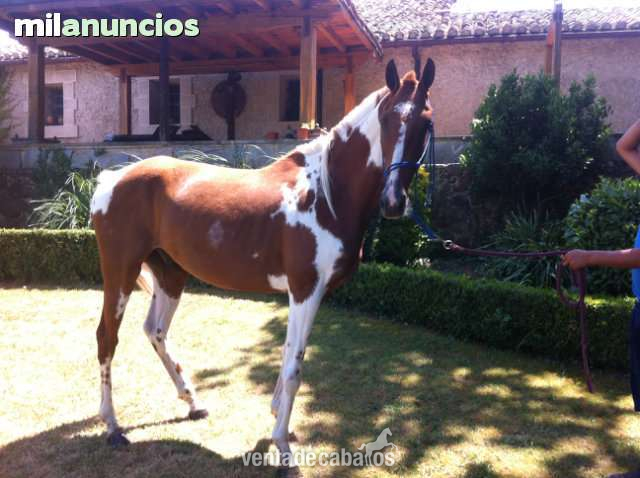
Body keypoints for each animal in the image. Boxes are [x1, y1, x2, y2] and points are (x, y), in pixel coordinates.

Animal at [90, 58, 435, 471]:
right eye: (386, 119)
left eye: (425, 121)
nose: (394, 201)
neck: (326, 193)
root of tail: (111, 179)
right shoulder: (305, 290)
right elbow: (294, 368)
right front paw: (283, 448)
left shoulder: (303, 295)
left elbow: (287, 354)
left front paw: (276, 418)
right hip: (120, 271)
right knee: (107, 337)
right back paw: (112, 426)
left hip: (170, 274)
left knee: (155, 330)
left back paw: (192, 403)